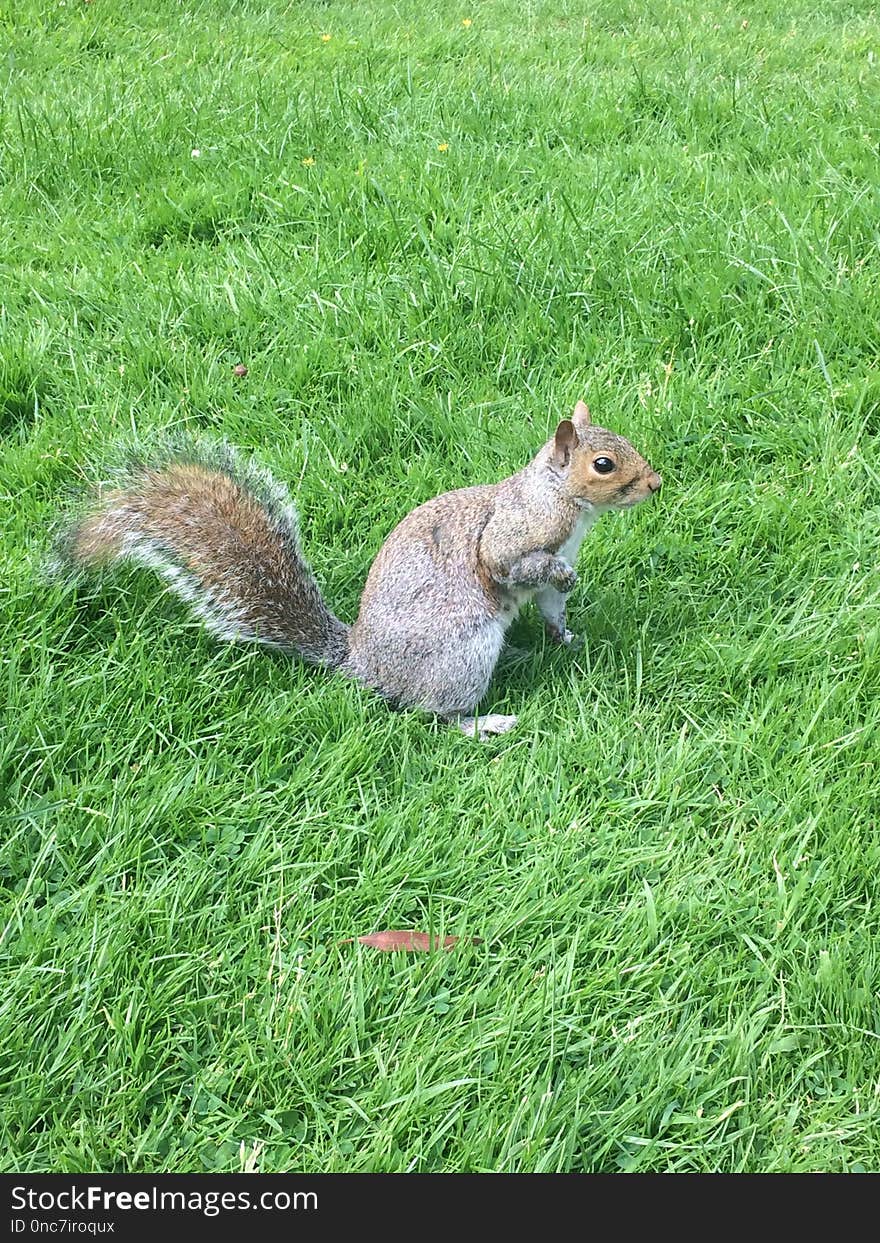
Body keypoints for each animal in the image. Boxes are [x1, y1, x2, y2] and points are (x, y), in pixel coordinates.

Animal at [60, 402, 661, 735]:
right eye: (603, 465)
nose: (655, 484)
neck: (564, 502)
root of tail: (362, 664)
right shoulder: (516, 533)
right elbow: (509, 563)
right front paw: (560, 579)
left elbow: (552, 606)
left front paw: (568, 637)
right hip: (459, 656)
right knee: (433, 714)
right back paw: (483, 722)